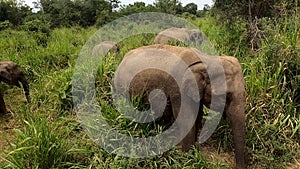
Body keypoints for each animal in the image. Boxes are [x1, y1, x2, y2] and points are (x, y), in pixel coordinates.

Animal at [113, 44, 245, 168]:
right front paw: (188, 160)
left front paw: (194, 154)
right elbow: (186, 121)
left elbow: (197, 117)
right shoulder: (179, 89)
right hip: (121, 89)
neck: (206, 60)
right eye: (226, 96)